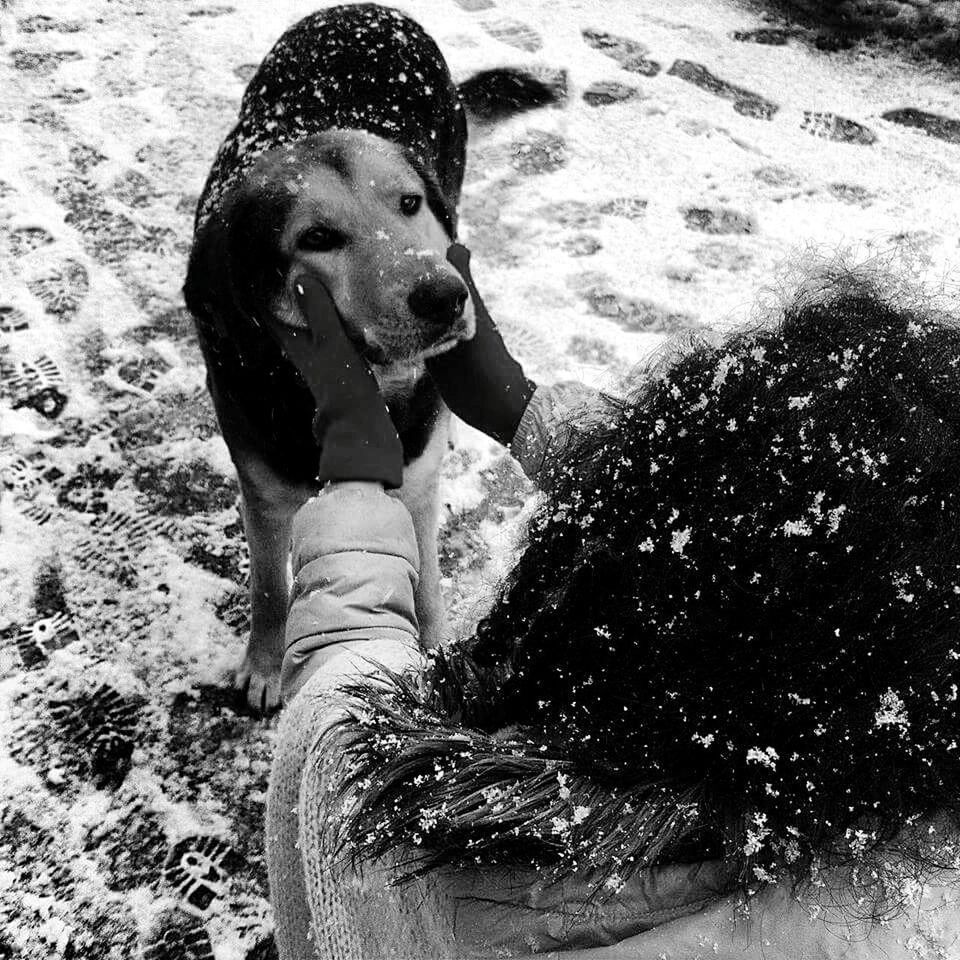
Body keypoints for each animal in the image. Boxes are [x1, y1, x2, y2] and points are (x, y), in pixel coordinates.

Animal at [184, 3, 560, 708]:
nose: (447, 297)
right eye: (317, 238)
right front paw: (266, 664)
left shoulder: (416, 483)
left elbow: (429, 578)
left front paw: (435, 650)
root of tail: (369, 10)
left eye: (409, 203)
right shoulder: (261, 486)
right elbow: (270, 586)